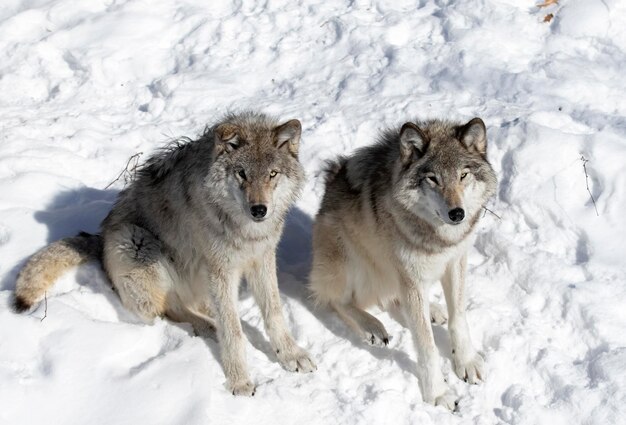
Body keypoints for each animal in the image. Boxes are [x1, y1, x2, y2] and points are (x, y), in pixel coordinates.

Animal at [13, 110, 316, 394]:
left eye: (272, 174)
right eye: (242, 173)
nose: (259, 210)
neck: (245, 229)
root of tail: (101, 237)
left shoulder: (261, 259)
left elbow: (274, 313)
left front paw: (292, 355)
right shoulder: (220, 268)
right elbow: (232, 332)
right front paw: (240, 381)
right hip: (140, 244)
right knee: (173, 310)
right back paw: (208, 327)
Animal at [308, 116, 498, 408]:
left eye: (463, 175)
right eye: (433, 179)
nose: (457, 213)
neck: (437, 236)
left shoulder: (455, 261)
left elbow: (459, 318)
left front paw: (465, 362)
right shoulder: (411, 277)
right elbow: (427, 346)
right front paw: (438, 393)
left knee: (393, 299)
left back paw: (432, 309)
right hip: (348, 258)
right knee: (337, 300)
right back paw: (373, 327)